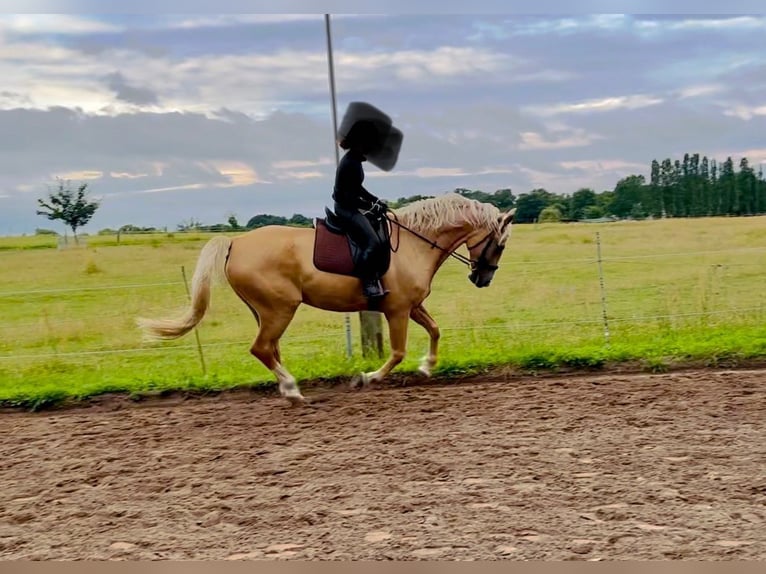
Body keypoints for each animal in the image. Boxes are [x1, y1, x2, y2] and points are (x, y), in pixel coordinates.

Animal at [141, 196, 520, 408]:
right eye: (500, 244)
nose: (482, 279)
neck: (415, 243)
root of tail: (236, 243)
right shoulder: (397, 310)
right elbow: (397, 352)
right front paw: (367, 378)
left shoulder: (412, 307)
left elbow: (436, 330)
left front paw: (426, 367)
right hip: (280, 309)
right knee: (261, 349)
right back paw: (293, 391)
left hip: (265, 312)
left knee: (270, 350)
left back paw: (288, 388)